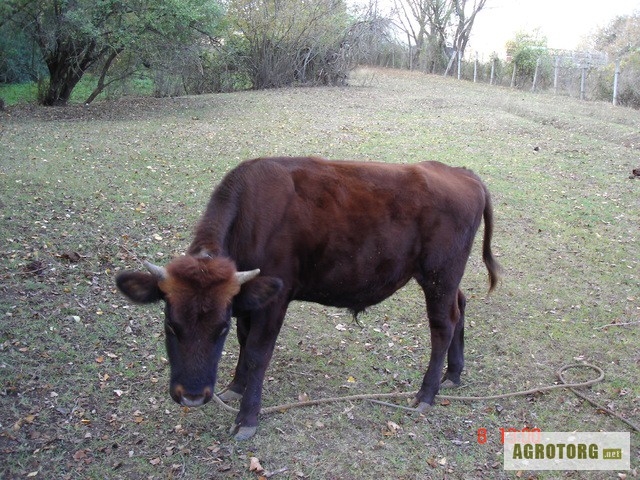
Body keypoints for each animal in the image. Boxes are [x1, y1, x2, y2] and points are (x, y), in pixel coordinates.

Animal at [117, 157, 502, 438]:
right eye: (170, 325)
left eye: (219, 329)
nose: (193, 397)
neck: (250, 216)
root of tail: (461, 173)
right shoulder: (247, 299)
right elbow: (245, 343)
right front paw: (235, 387)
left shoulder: (275, 298)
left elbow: (257, 353)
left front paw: (247, 419)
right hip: (444, 279)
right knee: (460, 307)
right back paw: (453, 374)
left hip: (439, 276)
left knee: (442, 325)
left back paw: (426, 394)